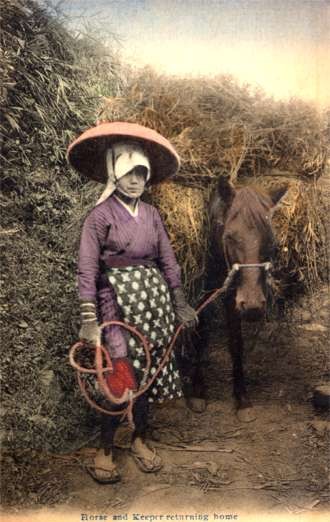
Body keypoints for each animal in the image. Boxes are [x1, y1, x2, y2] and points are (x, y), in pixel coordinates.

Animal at [177, 177, 288, 420]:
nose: (254, 307)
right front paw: (198, 390)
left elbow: (236, 342)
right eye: (230, 237)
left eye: (271, 241)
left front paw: (242, 398)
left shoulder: (233, 296)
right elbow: (201, 333)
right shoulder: (207, 290)